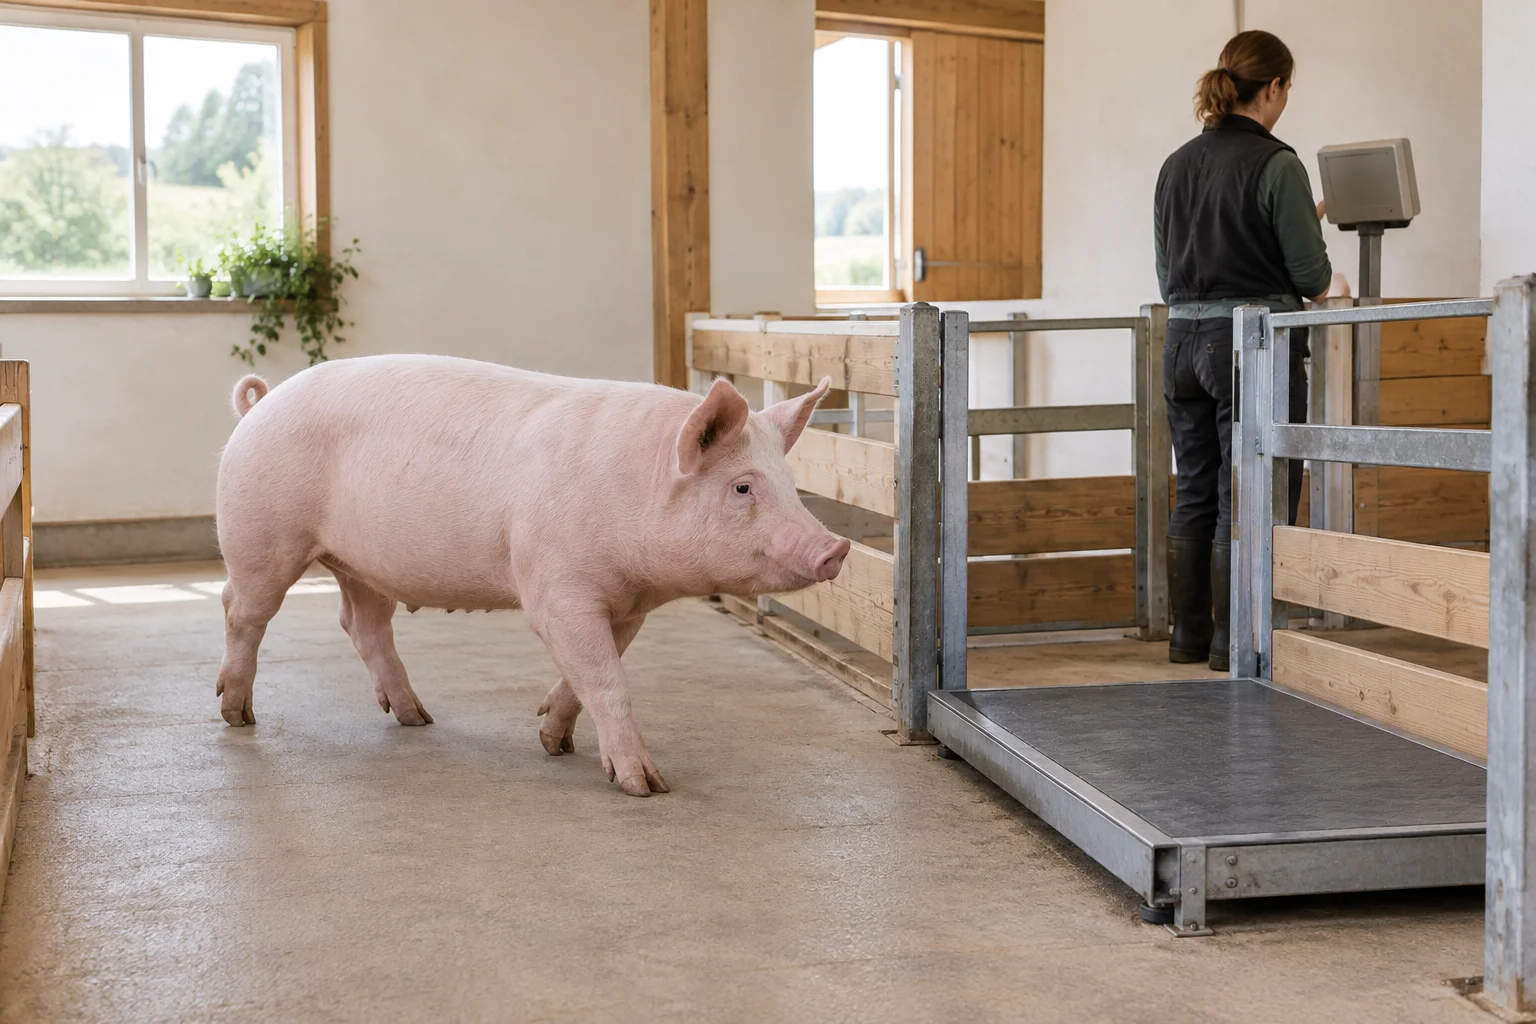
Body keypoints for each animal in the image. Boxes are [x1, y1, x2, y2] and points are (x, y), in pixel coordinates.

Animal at [215, 355, 851, 796]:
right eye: (742, 487)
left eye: (791, 484)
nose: (837, 547)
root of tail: (259, 404)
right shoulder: (557, 590)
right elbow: (608, 681)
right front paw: (645, 786)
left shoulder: (626, 604)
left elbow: (590, 672)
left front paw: (553, 741)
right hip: (261, 538)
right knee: (241, 611)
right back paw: (237, 716)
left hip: (361, 564)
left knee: (362, 623)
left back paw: (417, 717)